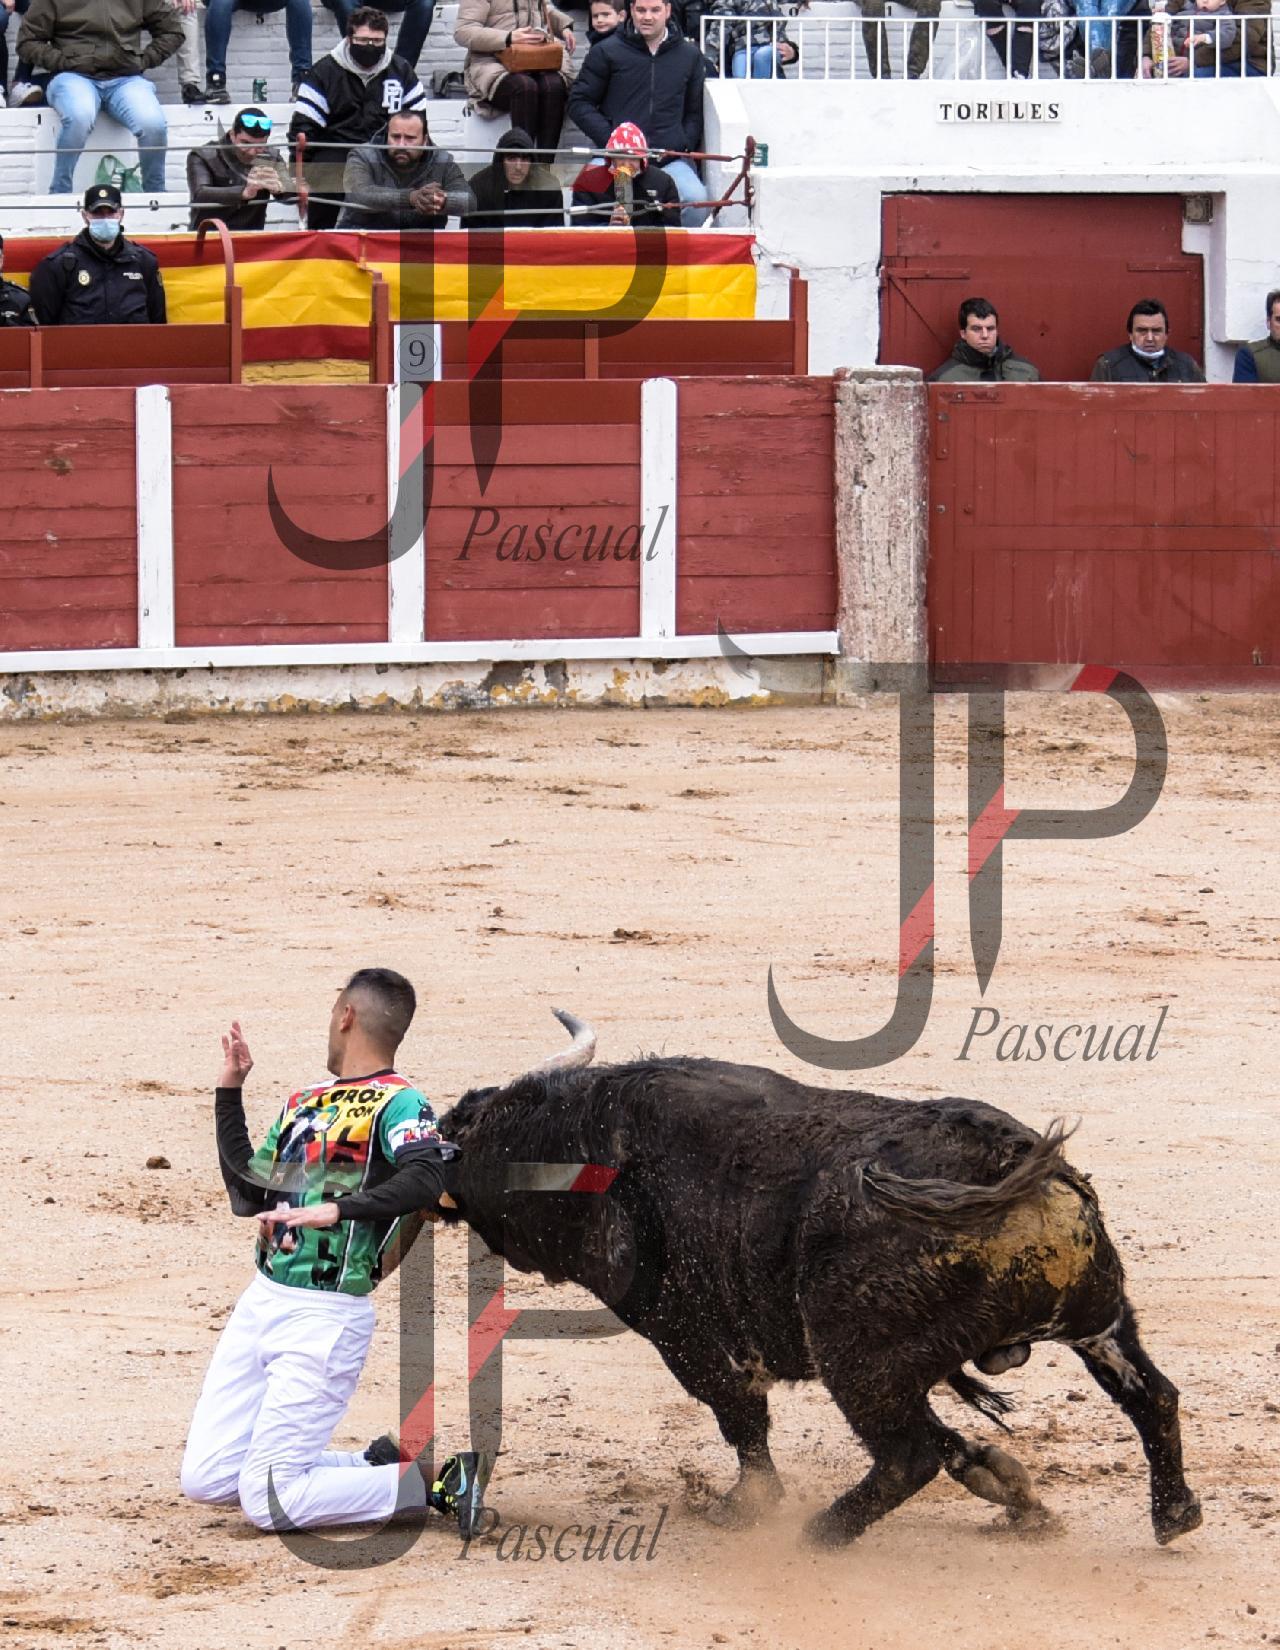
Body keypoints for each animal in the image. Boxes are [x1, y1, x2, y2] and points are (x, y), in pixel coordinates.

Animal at [437, 1010, 1202, 1550]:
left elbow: (739, 1414)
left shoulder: (679, 1330)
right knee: (1152, 1396)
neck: (579, 1147)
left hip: (854, 1355)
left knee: (907, 1455)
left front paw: (743, 1508)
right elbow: (957, 1443)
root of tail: (1011, 1163)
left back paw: (820, 1536)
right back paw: (1173, 1514)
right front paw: (1011, 1488)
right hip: (1100, 1323)